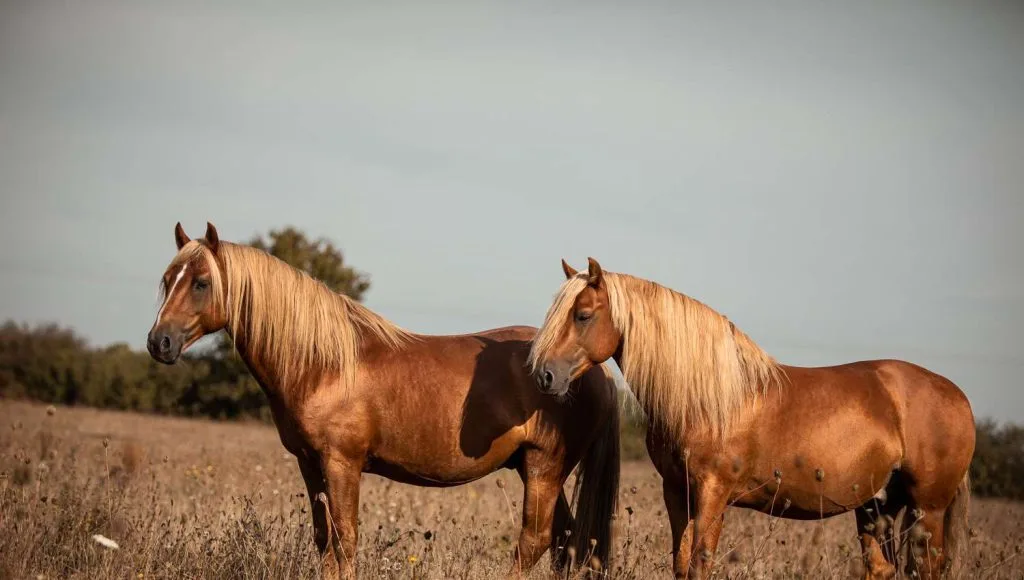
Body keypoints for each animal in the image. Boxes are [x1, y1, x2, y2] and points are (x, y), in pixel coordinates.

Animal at [145, 222, 621, 579]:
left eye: (201, 283)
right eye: (167, 281)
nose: (158, 342)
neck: (325, 365)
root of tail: (593, 370)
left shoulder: (342, 463)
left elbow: (346, 540)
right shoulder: (310, 464)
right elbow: (325, 542)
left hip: (545, 467)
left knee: (534, 543)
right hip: (536, 469)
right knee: (563, 544)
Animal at [528, 257, 975, 580]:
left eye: (583, 315)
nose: (544, 375)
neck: (707, 399)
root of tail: (957, 395)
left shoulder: (713, 493)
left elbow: (700, 562)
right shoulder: (677, 491)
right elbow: (681, 562)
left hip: (927, 509)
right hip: (875, 506)